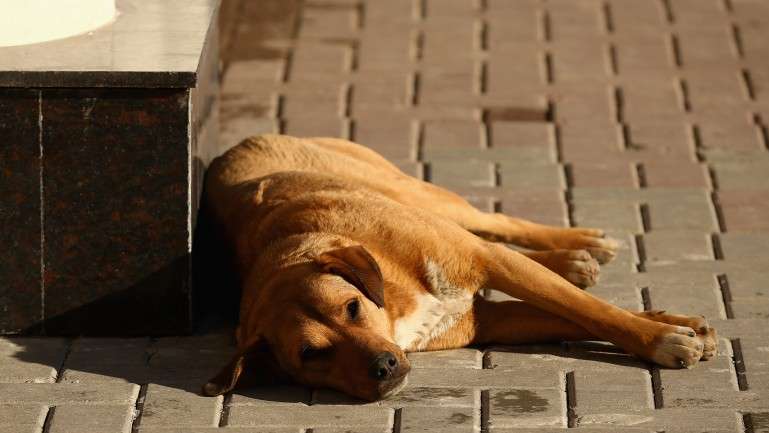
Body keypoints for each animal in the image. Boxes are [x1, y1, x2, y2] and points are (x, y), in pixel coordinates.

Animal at [201, 133, 716, 400]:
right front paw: (674, 326)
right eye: (311, 354)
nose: (384, 366)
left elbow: (592, 311)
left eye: (351, 307)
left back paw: (580, 243)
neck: (394, 300)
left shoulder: (488, 263)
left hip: (418, 194)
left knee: (494, 223)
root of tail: (234, 146)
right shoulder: (487, 319)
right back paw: (573, 260)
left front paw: (662, 336)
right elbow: (574, 316)